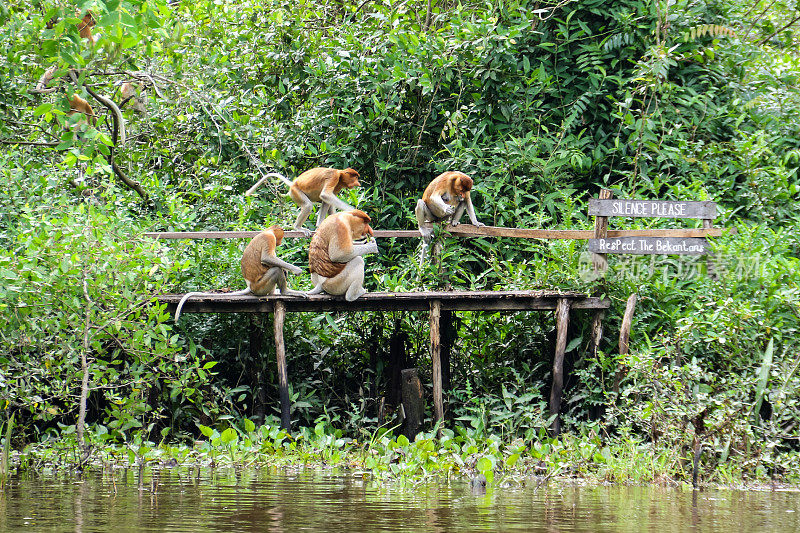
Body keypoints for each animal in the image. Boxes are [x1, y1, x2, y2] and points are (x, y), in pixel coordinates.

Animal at [175, 224, 306, 320]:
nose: (280, 242)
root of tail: (250, 285)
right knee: (275, 270)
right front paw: (295, 270)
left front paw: (287, 270)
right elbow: (267, 258)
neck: (267, 231)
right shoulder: (269, 239)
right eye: (280, 236)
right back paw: (285, 291)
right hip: (260, 287)